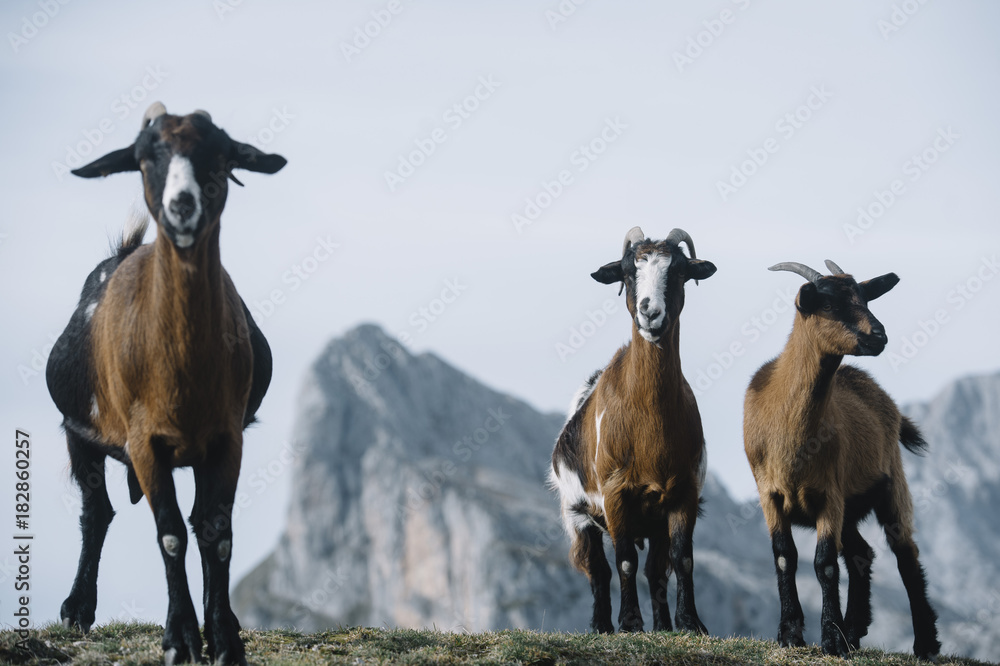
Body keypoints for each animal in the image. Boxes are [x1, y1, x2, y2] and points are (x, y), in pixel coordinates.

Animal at [46, 102, 286, 665]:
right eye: (143, 157)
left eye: (221, 154)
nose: (182, 206)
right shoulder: (143, 443)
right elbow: (171, 535)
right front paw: (180, 639)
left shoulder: (227, 439)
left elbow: (216, 535)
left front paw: (224, 642)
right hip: (79, 433)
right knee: (98, 514)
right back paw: (77, 609)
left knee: (196, 522)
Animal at [550, 227, 716, 634]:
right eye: (627, 274)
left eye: (679, 272)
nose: (650, 312)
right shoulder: (614, 493)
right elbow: (624, 561)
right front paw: (628, 622)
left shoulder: (684, 491)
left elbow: (682, 559)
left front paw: (690, 622)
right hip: (578, 513)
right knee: (598, 569)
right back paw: (601, 626)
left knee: (656, 570)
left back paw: (663, 626)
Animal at [743, 260, 939, 659]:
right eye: (829, 304)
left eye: (864, 298)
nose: (878, 335)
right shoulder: (770, 495)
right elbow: (785, 557)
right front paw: (791, 633)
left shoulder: (828, 495)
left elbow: (825, 564)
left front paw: (831, 639)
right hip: (852, 508)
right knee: (861, 553)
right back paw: (855, 629)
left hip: (891, 485)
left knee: (905, 554)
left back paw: (925, 643)